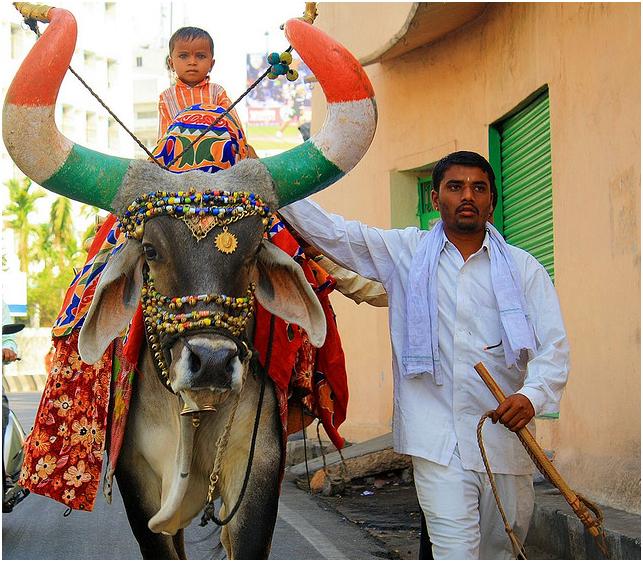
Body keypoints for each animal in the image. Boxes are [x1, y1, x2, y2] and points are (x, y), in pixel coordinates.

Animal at [3, 2, 378, 556]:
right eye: (151, 250)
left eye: (252, 251)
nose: (213, 362)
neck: (194, 412)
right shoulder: (138, 483)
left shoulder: (259, 468)